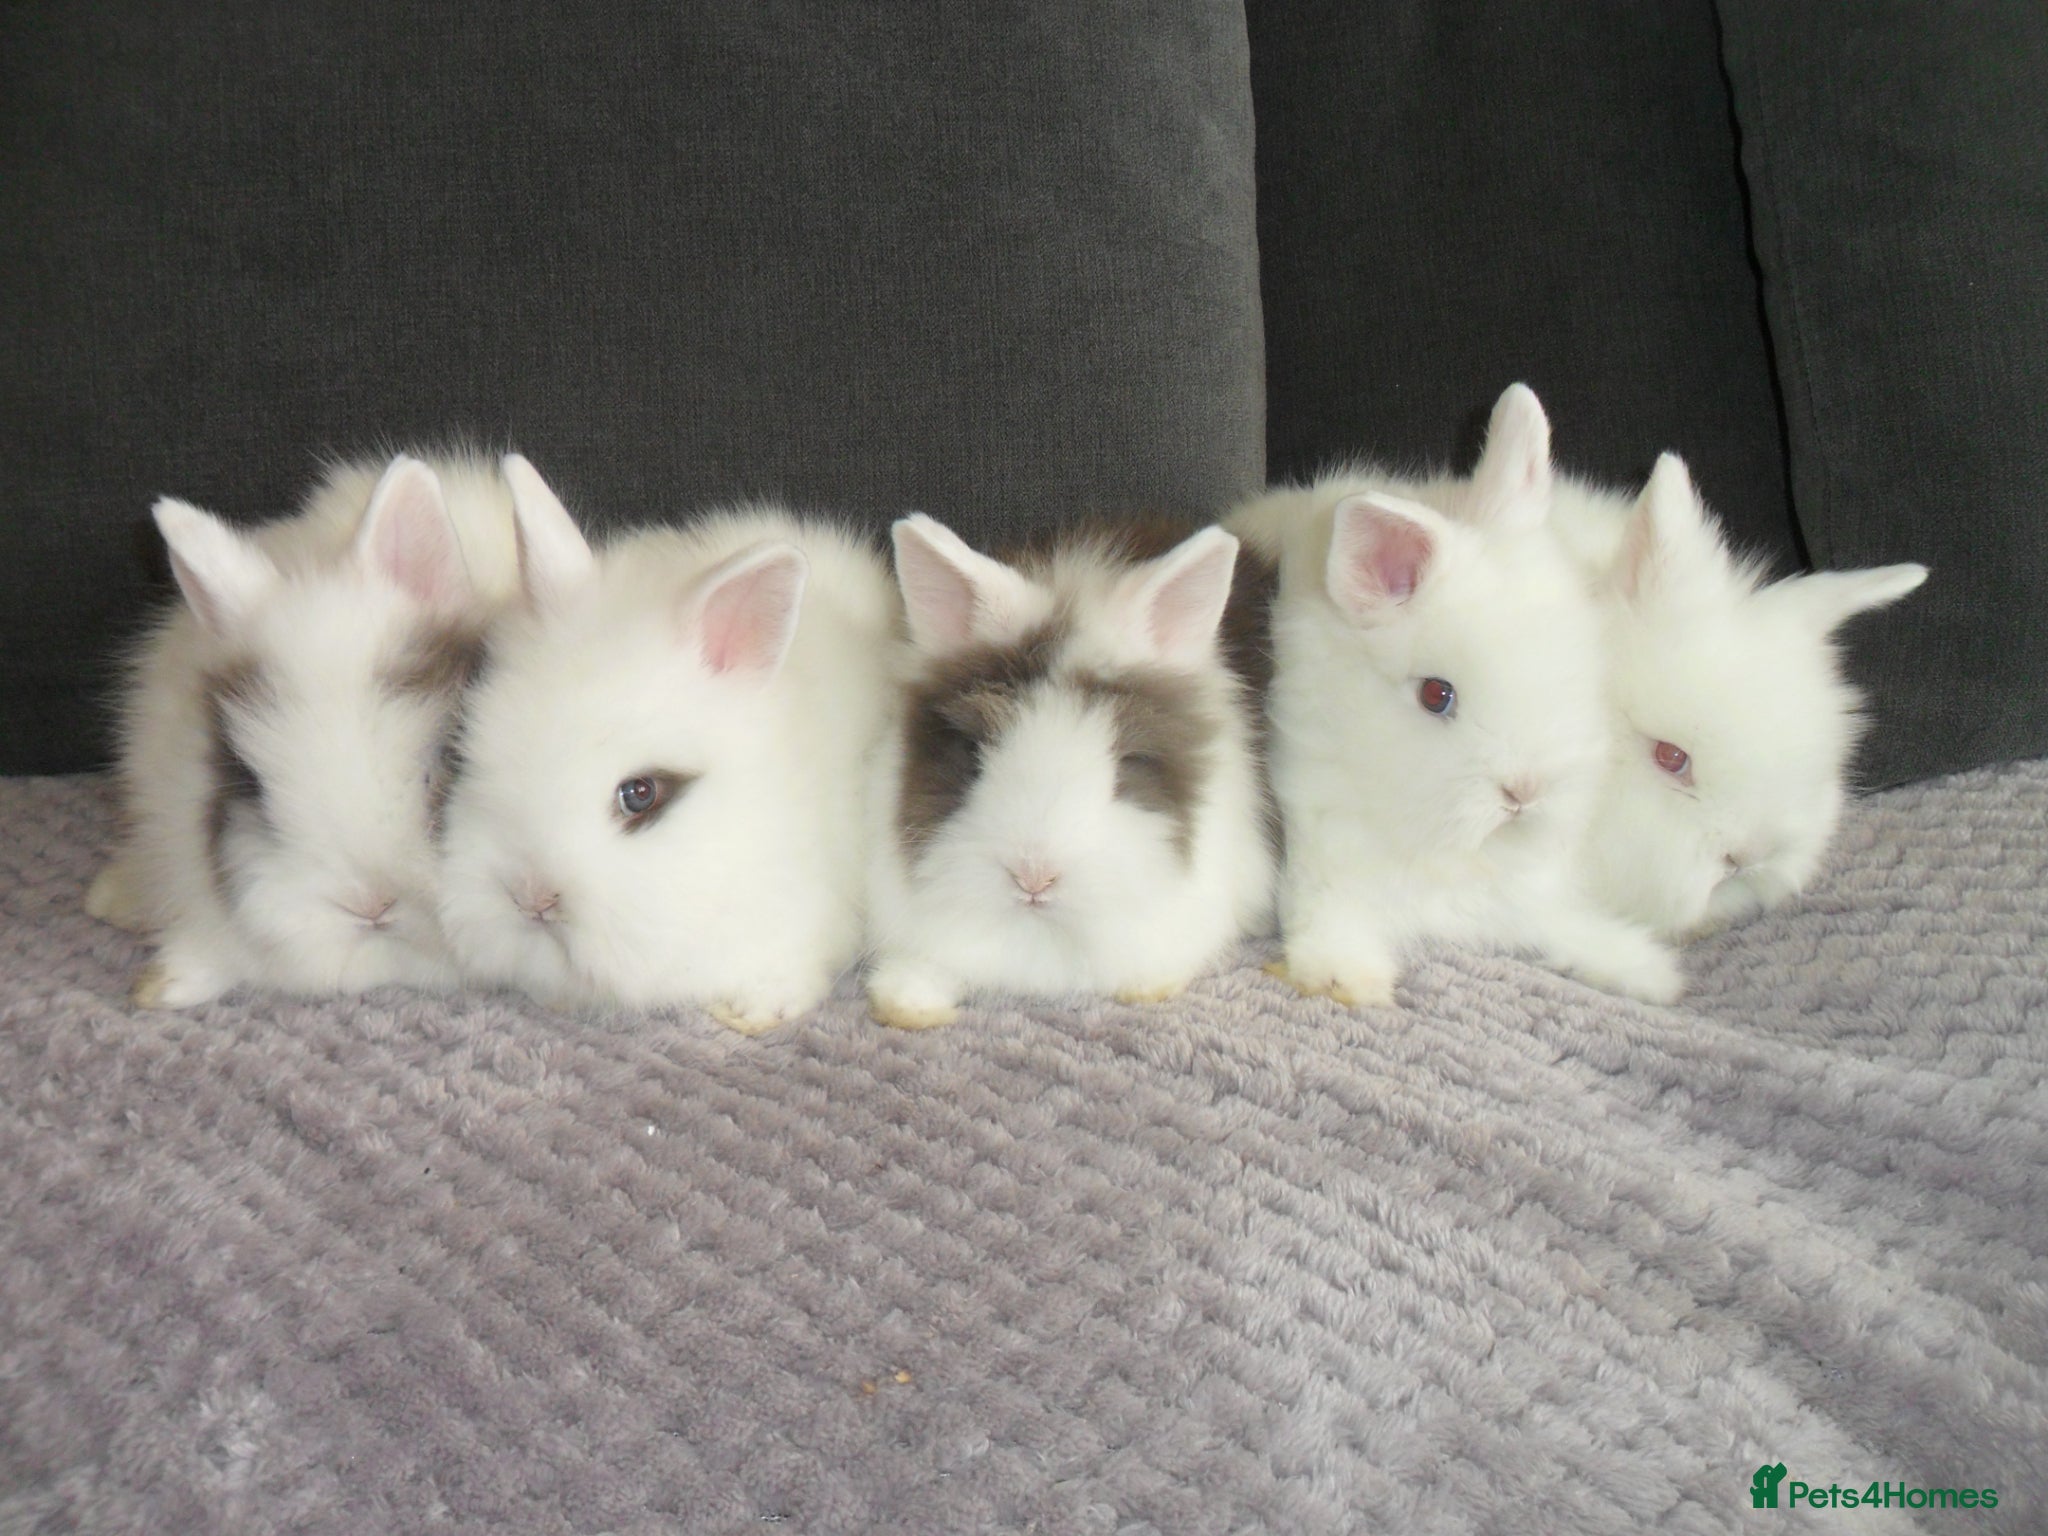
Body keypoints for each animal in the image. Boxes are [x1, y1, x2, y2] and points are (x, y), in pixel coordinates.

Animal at [1229, 383, 1684, 1007]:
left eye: (1575, 662)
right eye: (1435, 695)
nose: (1523, 793)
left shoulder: (1522, 894)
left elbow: (1559, 925)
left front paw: (1643, 968)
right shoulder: (1320, 844)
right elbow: (1329, 913)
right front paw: (1345, 976)